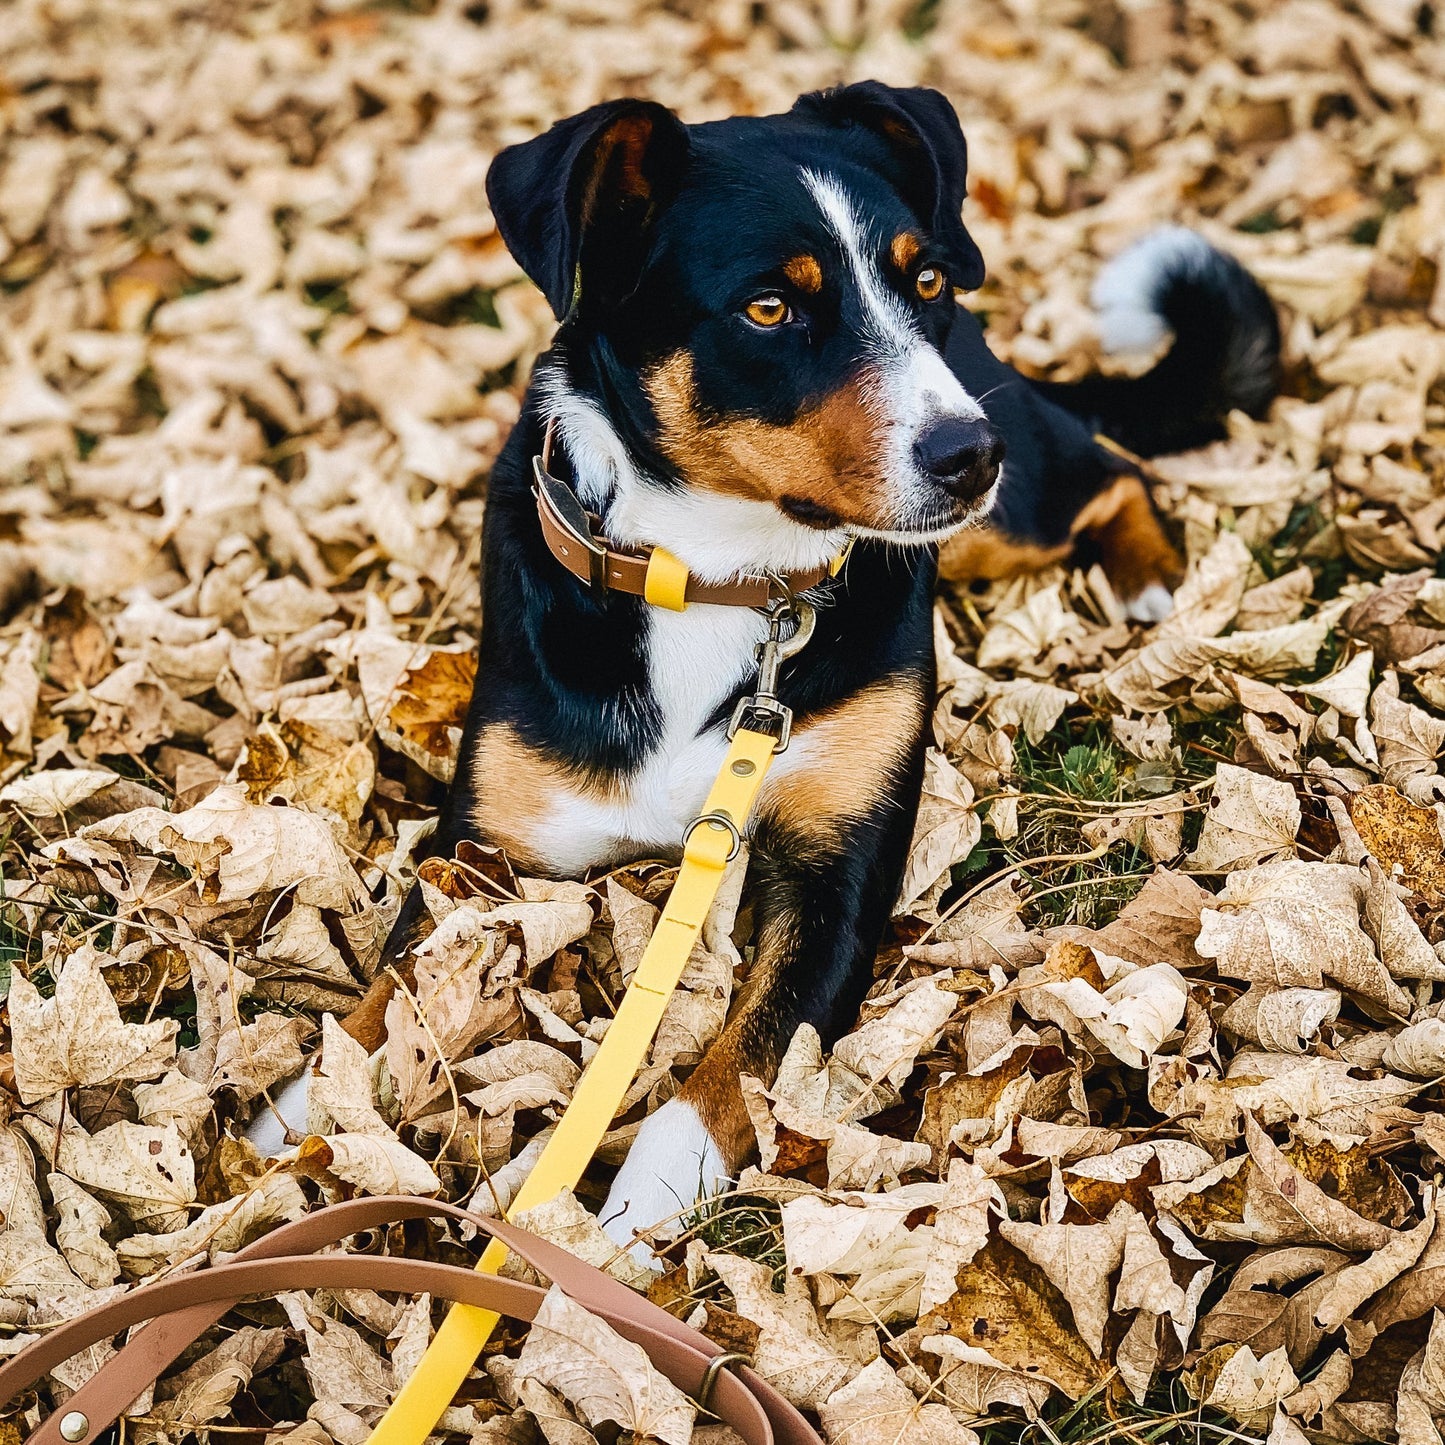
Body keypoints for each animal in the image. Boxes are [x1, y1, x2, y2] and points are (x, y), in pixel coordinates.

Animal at [254, 79, 1283, 1260]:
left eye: (922, 280)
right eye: (767, 309)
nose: (964, 453)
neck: (715, 580)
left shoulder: (836, 875)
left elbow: (732, 1070)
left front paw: (623, 1219)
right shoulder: (484, 850)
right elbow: (389, 989)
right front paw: (295, 1125)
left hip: (1007, 507)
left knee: (1110, 467)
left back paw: (1150, 577)